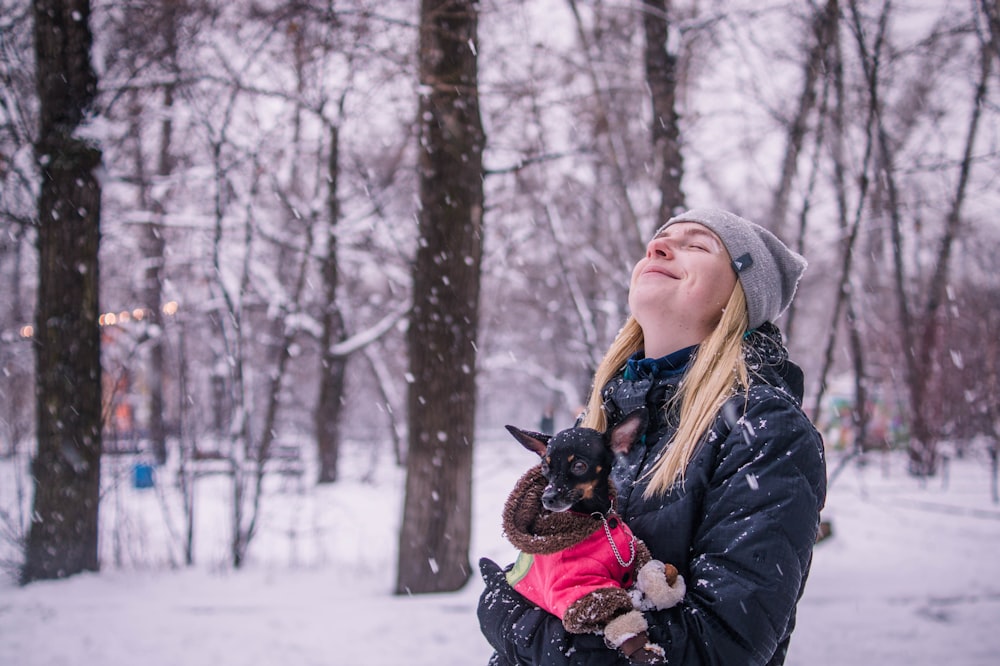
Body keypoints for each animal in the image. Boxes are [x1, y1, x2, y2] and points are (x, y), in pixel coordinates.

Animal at [504, 408, 684, 660]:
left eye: (579, 466)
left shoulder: (635, 557)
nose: (547, 498)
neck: (598, 518)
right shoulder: (583, 591)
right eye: (545, 467)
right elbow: (622, 622)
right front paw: (645, 652)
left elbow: (656, 574)